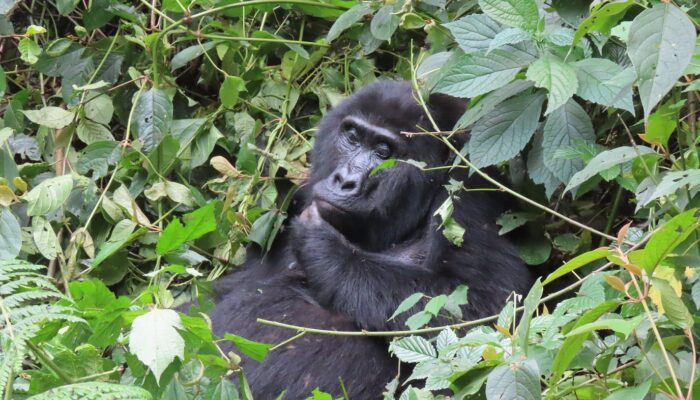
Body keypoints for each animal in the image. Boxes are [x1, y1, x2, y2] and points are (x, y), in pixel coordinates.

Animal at [209, 80, 536, 396]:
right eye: (353, 137)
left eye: (383, 152)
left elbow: (484, 312)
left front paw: (326, 249)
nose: (344, 180)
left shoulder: (469, 192)